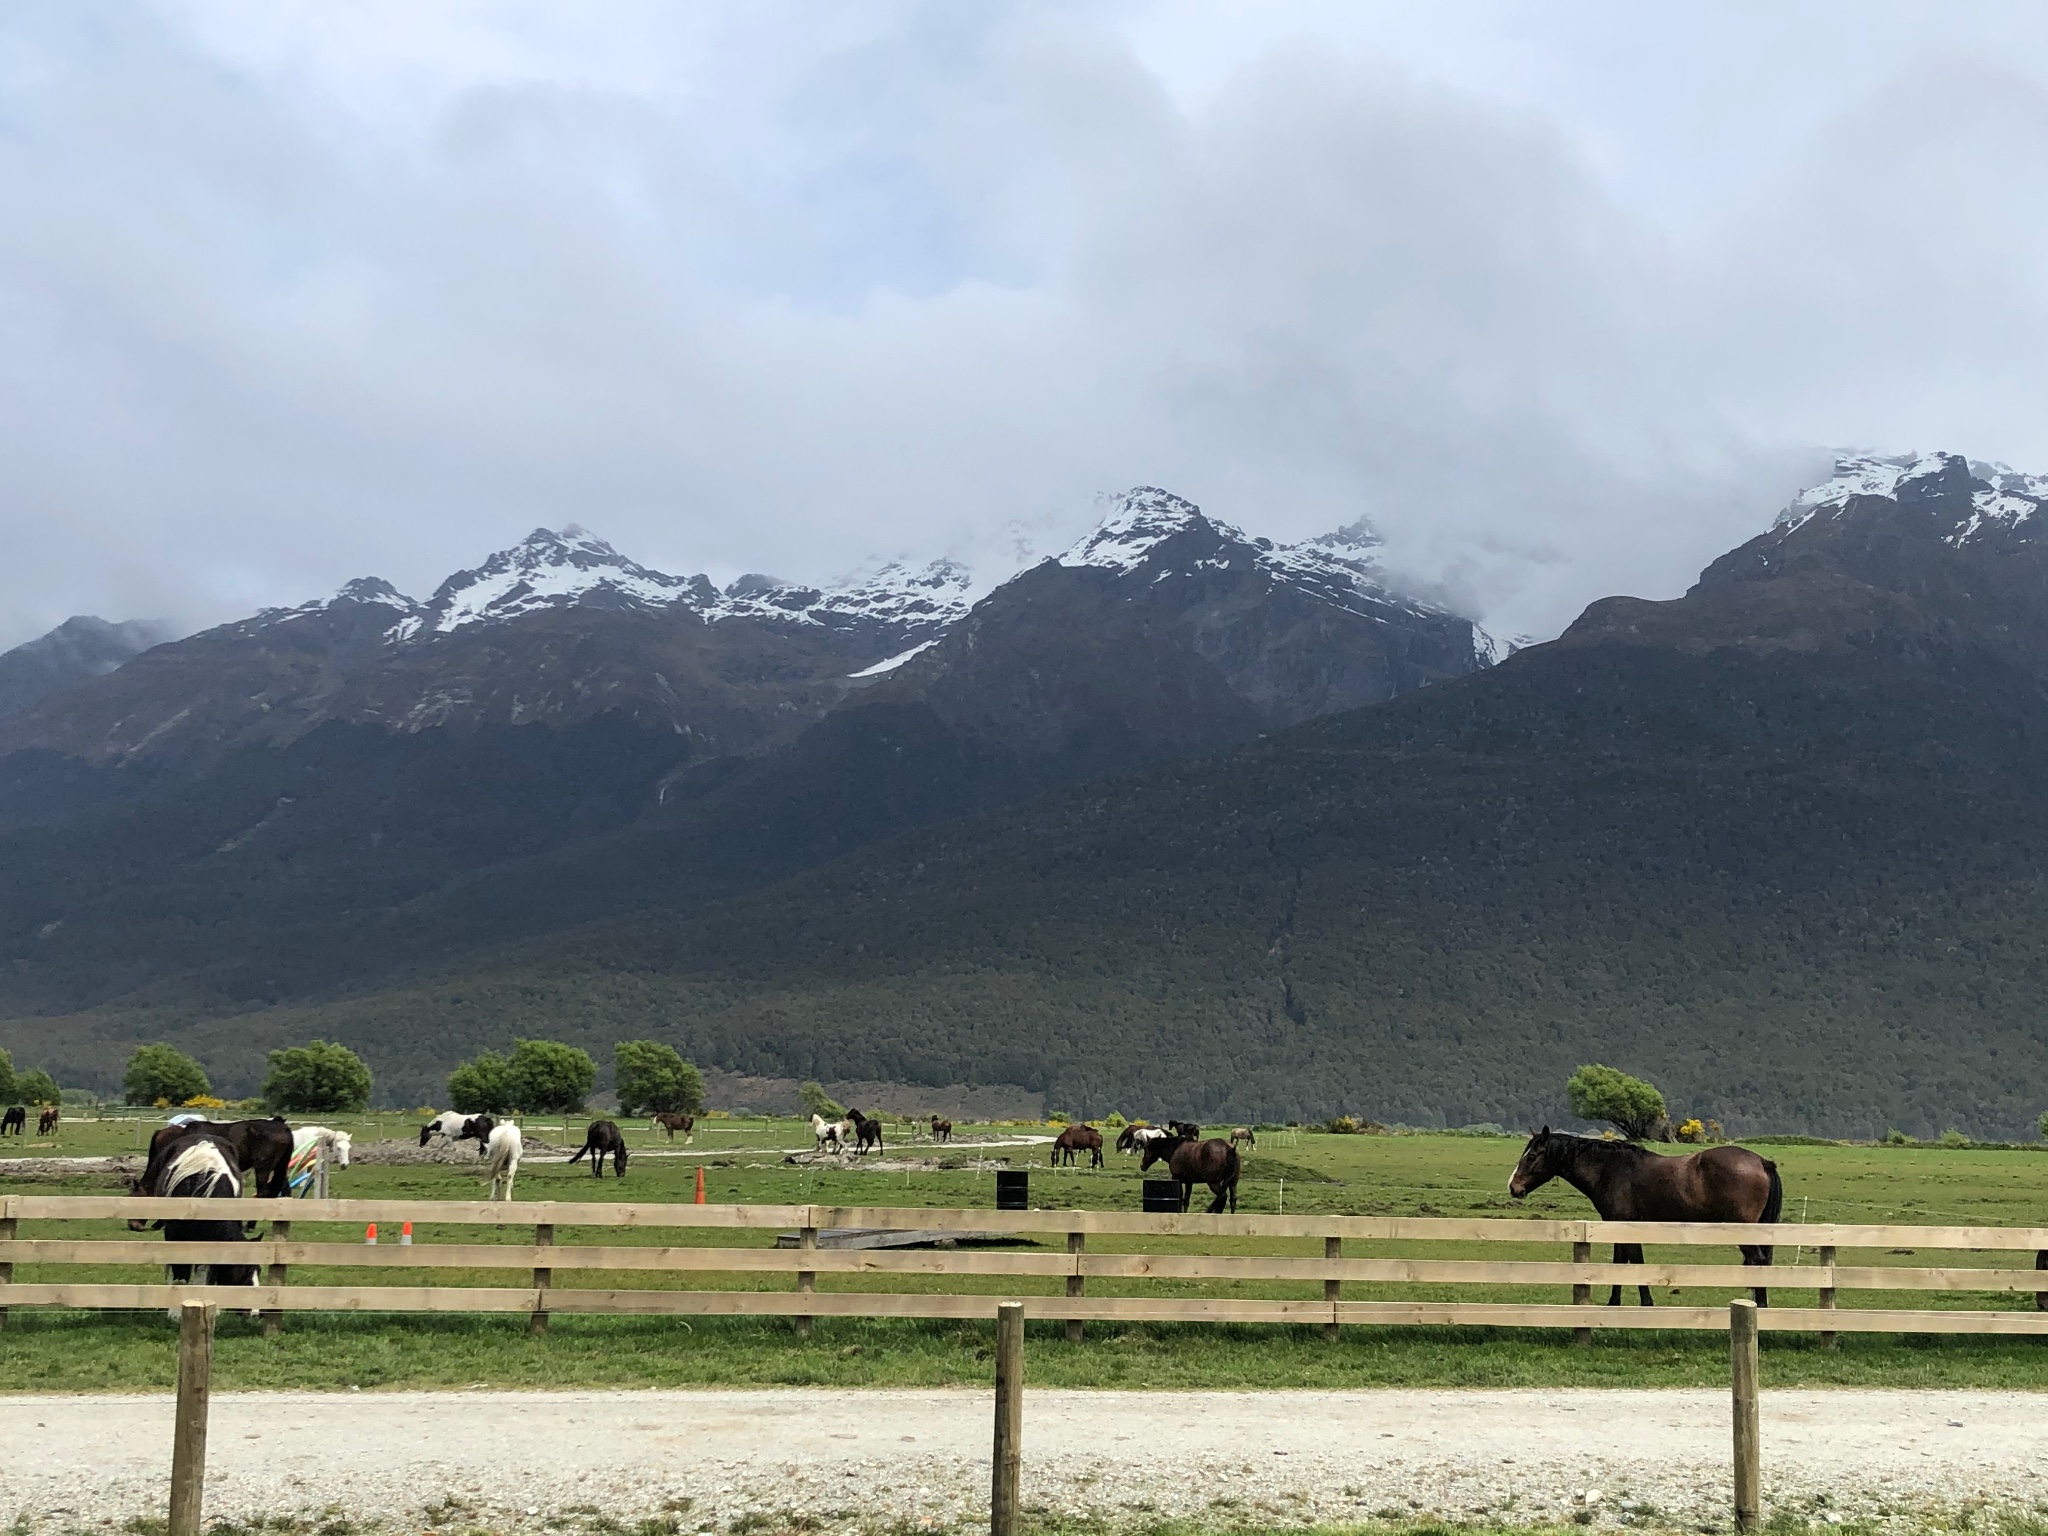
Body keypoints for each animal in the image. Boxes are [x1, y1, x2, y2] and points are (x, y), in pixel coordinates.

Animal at [1507, 1122, 1777, 1302]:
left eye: (1532, 1156)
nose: (1513, 1187)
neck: (1612, 1170)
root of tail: (1762, 1162)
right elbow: (1622, 1262)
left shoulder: (1624, 1227)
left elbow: (1633, 1262)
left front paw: (1642, 1304)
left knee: (1758, 1262)